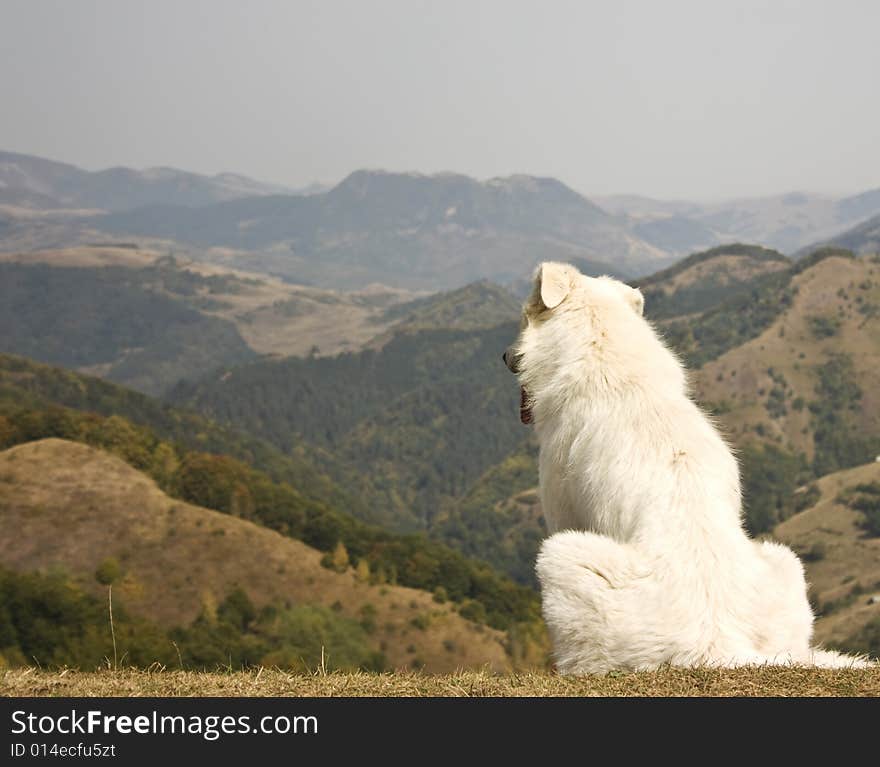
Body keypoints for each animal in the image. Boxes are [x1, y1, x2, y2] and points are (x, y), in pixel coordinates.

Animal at [506, 262, 868, 672]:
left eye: (524, 316)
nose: (504, 357)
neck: (605, 355)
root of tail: (716, 641)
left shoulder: (561, 511)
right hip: (784, 561)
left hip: (561, 557)